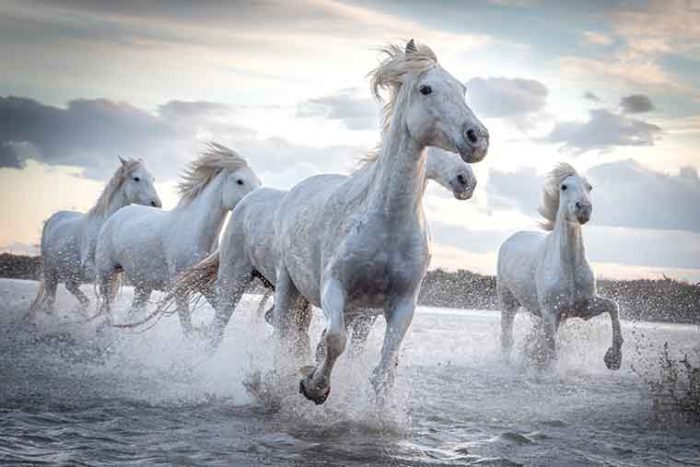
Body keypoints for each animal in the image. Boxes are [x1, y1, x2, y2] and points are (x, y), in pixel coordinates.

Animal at [28, 157, 161, 317]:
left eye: (153, 178)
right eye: (136, 178)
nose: (157, 204)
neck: (105, 226)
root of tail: (51, 219)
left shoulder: (114, 275)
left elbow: (110, 300)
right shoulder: (95, 270)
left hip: (71, 273)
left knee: (71, 288)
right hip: (51, 271)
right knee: (51, 299)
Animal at [94, 143, 260, 324]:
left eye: (258, 181)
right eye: (240, 181)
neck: (195, 232)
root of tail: (115, 215)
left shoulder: (205, 285)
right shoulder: (181, 288)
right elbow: (187, 327)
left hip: (143, 286)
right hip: (107, 275)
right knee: (108, 310)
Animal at [496, 163, 623, 370]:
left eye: (589, 187)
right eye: (564, 187)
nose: (584, 209)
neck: (569, 267)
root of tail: (511, 239)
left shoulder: (583, 307)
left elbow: (613, 306)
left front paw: (613, 359)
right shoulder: (551, 313)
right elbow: (551, 349)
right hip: (508, 302)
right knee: (507, 337)